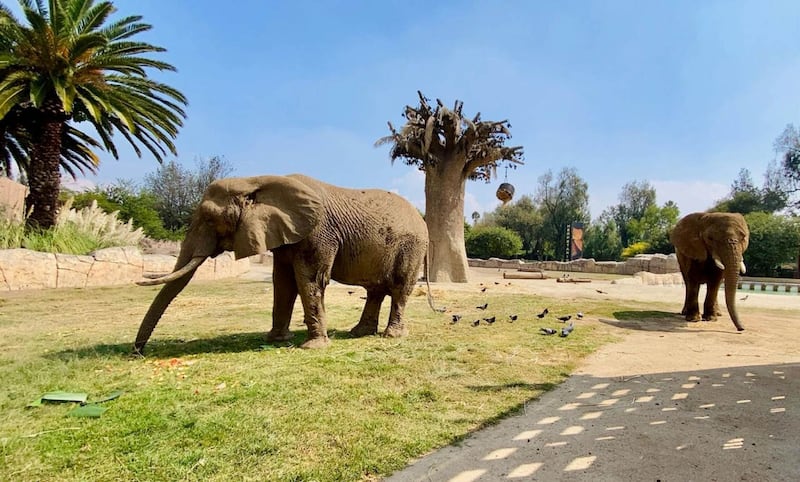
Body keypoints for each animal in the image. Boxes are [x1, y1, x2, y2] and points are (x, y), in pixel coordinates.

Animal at [133, 175, 432, 356]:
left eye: (209, 218)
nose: (137, 353)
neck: (257, 181)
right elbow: (284, 282)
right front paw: (275, 340)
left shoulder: (318, 233)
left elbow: (310, 280)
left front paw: (312, 348)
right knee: (375, 291)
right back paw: (359, 333)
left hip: (411, 247)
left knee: (399, 289)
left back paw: (391, 336)